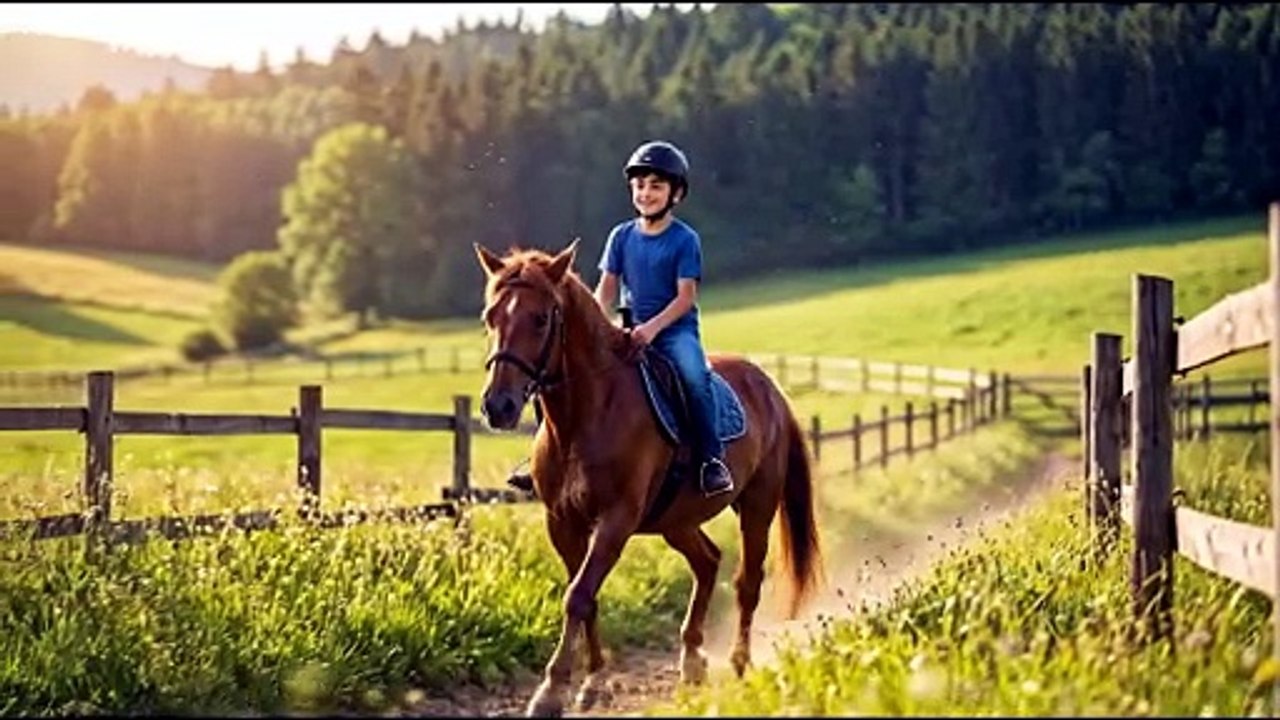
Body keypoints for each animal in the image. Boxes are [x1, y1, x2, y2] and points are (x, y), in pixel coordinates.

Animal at [473, 239, 823, 717]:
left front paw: (551, 691)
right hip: (675, 520)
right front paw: (593, 681)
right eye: (491, 317)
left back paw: (739, 663)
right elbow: (586, 597)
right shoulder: (562, 522)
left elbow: (578, 595)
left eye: (541, 318)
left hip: (757, 506)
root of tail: (769, 388)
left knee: (747, 582)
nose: (498, 406)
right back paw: (692, 660)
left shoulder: (616, 520)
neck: (587, 415)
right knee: (708, 562)